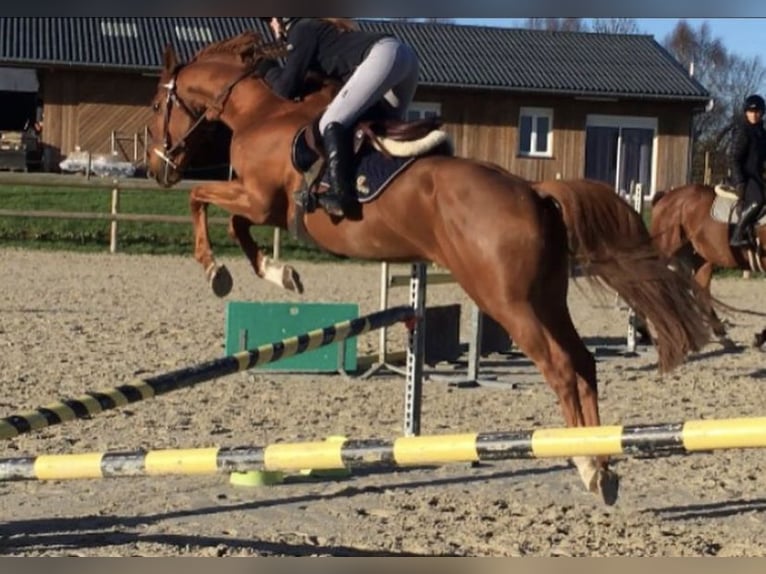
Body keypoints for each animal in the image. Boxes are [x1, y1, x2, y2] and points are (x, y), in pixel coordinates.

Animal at [144, 32, 712, 508]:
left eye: (154, 106)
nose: (155, 169)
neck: (259, 111)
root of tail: (535, 191)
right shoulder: (262, 205)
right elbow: (231, 222)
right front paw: (278, 273)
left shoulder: (261, 200)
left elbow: (206, 203)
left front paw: (223, 271)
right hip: (546, 297)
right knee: (584, 362)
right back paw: (600, 463)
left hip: (506, 301)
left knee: (560, 368)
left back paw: (587, 464)